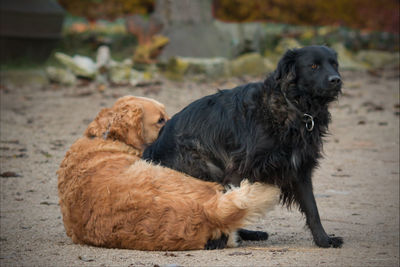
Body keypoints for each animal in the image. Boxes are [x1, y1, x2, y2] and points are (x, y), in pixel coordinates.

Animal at [143, 46, 344, 249]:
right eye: (313, 66)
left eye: (334, 64)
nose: (336, 79)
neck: (293, 105)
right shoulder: (237, 169)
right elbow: (227, 207)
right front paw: (218, 240)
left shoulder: (300, 169)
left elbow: (312, 209)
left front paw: (324, 240)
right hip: (203, 168)